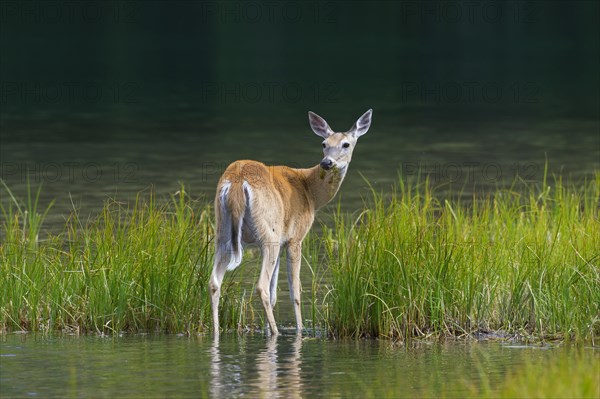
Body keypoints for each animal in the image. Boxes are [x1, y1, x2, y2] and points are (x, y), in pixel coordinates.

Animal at [209, 108, 372, 336]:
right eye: (324, 143)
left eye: (346, 144)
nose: (326, 163)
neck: (310, 192)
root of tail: (237, 181)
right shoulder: (295, 238)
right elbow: (295, 290)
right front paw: (299, 330)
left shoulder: (283, 239)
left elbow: (275, 294)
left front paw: (267, 329)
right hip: (268, 233)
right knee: (261, 285)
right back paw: (277, 332)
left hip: (224, 232)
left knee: (215, 282)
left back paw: (217, 331)